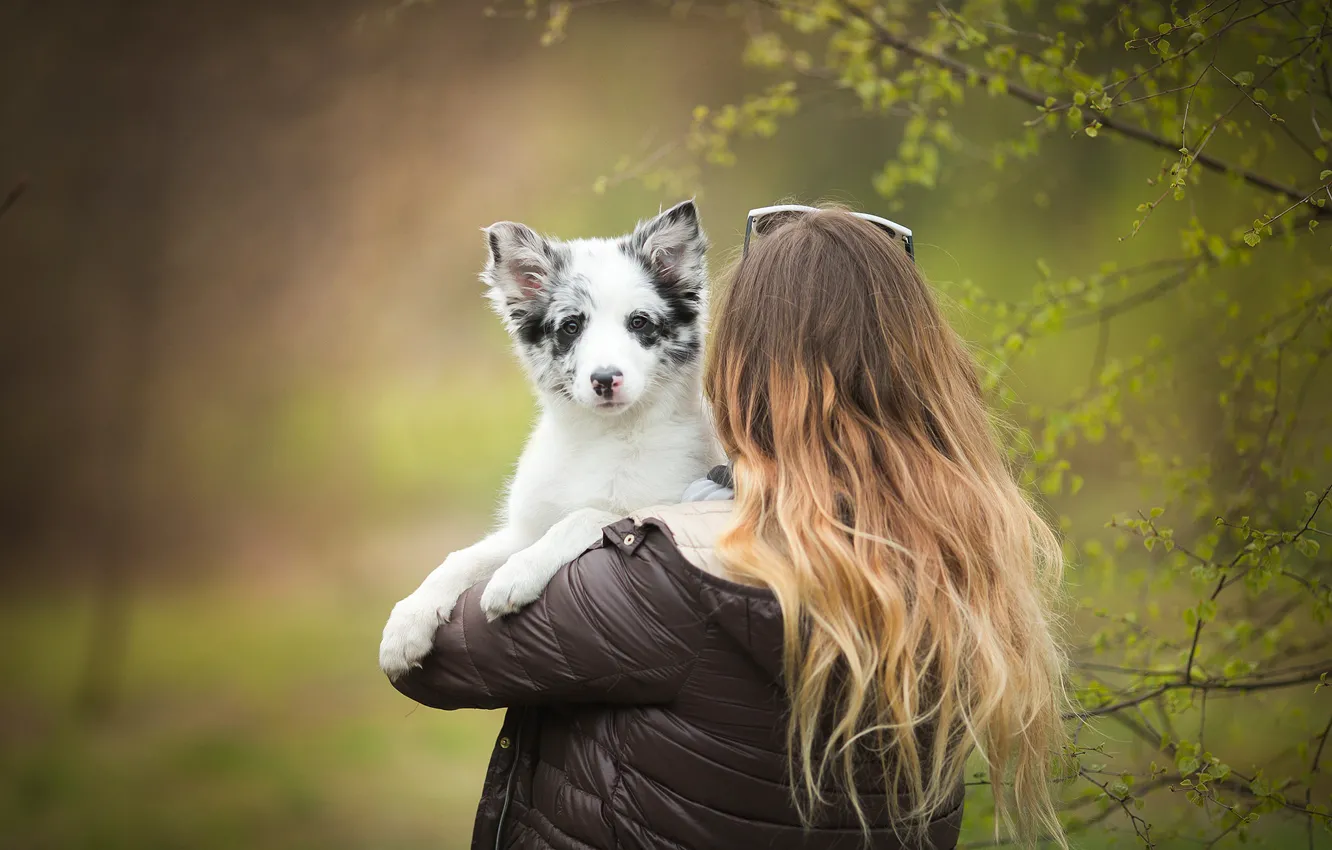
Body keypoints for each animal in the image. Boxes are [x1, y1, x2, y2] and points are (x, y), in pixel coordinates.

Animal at [380, 199, 724, 679]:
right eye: (571, 327)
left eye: (639, 322)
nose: (605, 380)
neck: (600, 437)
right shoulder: (524, 528)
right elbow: (460, 558)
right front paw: (407, 622)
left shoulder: (657, 509)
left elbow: (583, 516)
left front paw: (515, 575)